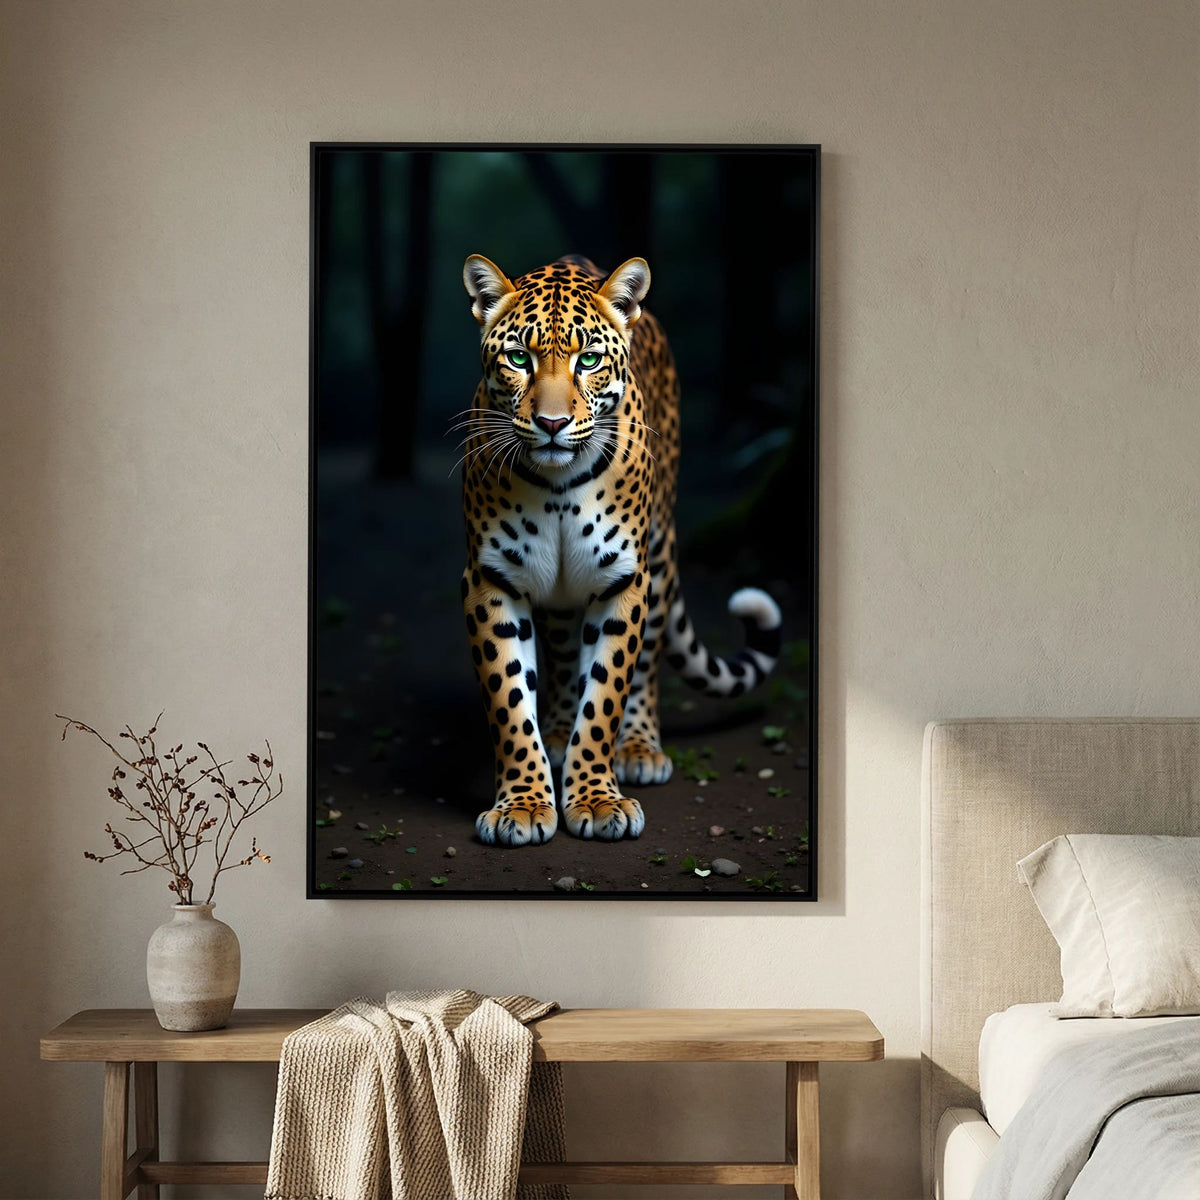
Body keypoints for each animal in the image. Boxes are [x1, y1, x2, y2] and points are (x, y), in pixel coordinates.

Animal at [457, 253, 782, 847]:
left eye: (588, 360)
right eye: (518, 357)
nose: (553, 424)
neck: (557, 487)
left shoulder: (622, 581)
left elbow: (606, 693)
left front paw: (596, 799)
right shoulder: (491, 580)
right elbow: (510, 701)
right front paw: (524, 804)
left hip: (659, 556)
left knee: (646, 662)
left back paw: (638, 748)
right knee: (563, 656)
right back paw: (557, 732)